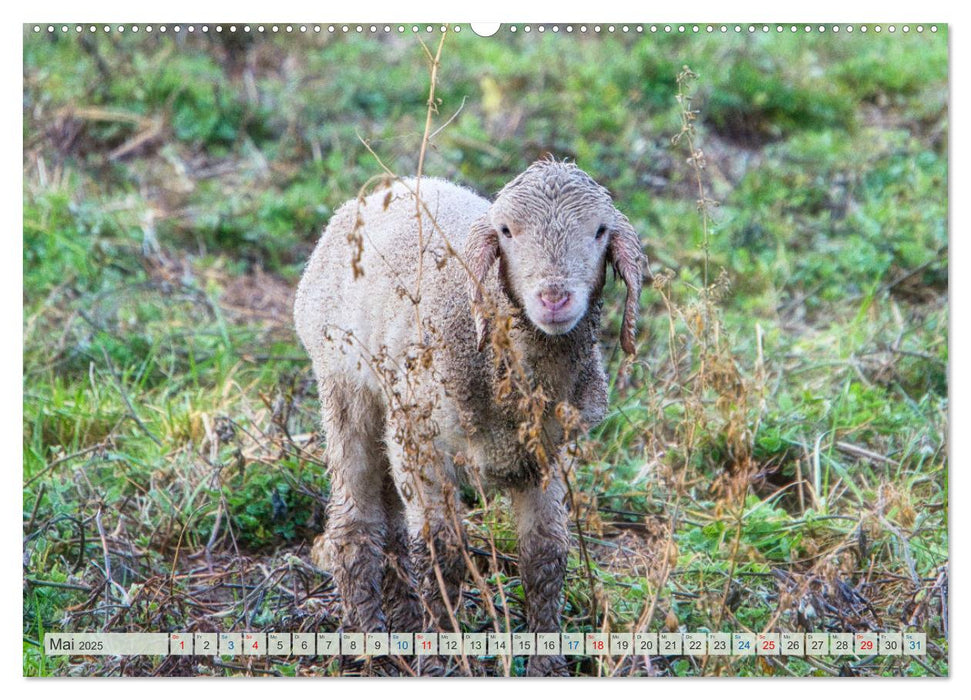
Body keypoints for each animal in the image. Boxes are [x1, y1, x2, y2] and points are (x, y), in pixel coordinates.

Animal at [292, 157, 648, 672]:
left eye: (600, 231)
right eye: (506, 231)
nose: (554, 298)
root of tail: (380, 191)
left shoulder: (547, 454)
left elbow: (546, 556)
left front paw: (547, 664)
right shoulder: (424, 443)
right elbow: (442, 554)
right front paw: (440, 660)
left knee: (393, 524)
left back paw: (403, 626)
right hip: (345, 384)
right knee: (356, 522)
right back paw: (373, 642)